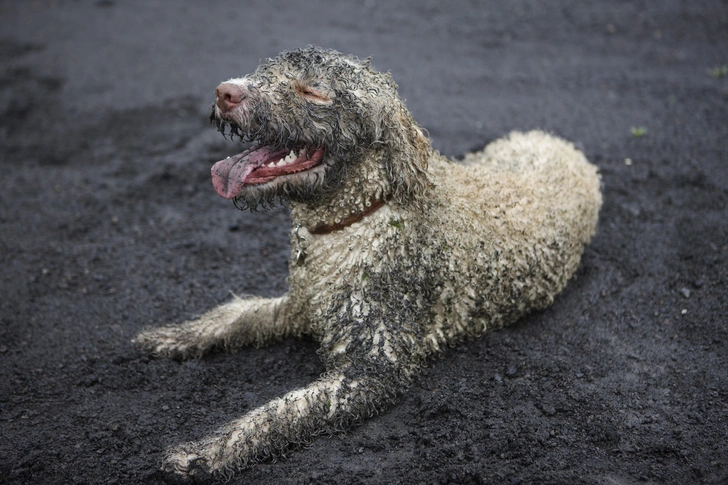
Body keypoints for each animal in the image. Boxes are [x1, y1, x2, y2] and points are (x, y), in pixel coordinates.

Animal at [134, 46, 600, 480]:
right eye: (265, 71)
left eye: (312, 91)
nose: (226, 91)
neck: (356, 218)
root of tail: (556, 141)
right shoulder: (301, 304)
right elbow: (234, 317)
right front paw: (173, 336)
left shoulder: (373, 370)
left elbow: (279, 413)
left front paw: (207, 452)